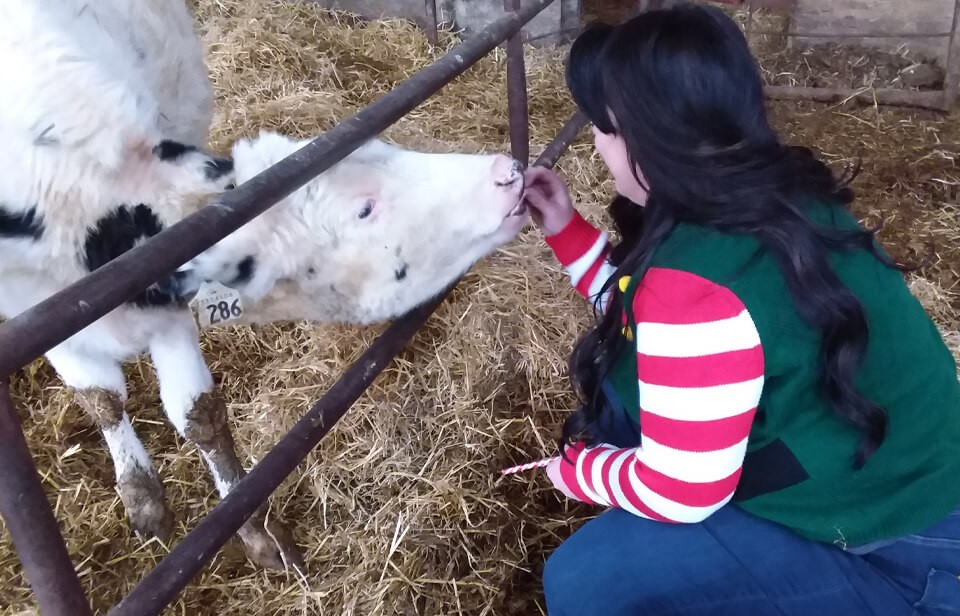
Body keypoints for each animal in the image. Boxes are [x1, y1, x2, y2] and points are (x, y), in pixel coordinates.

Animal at [0, 0, 528, 572]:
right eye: (364, 208)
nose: (505, 171)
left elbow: (197, 413)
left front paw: (252, 531)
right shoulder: (39, 316)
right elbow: (101, 399)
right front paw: (143, 498)